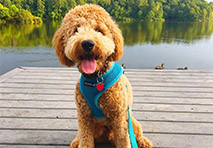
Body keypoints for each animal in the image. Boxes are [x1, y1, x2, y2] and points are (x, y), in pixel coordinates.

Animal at [53, 4, 153, 147]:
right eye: (76, 30)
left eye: (99, 30)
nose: (87, 43)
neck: (96, 78)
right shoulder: (84, 116)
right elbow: (85, 140)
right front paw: (80, 143)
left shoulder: (119, 117)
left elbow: (124, 140)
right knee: (80, 135)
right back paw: (76, 142)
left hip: (131, 121)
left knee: (137, 134)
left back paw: (145, 142)